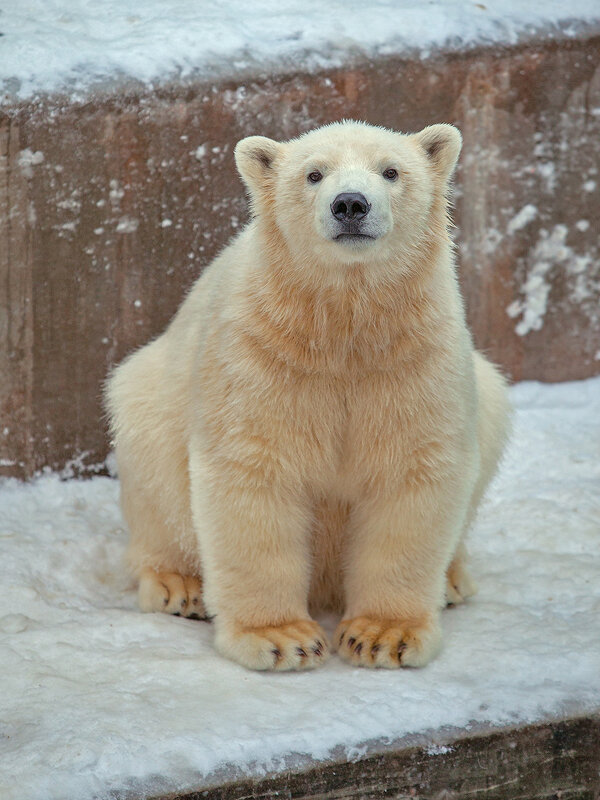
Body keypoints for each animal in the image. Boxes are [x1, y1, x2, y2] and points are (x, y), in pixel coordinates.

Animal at [105, 120, 508, 668]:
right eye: (314, 173)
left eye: (391, 171)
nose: (351, 204)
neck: (342, 330)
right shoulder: (261, 355)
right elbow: (255, 471)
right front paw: (281, 638)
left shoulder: (411, 357)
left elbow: (411, 471)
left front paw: (383, 635)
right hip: (150, 405)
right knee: (154, 475)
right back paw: (178, 585)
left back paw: (450, 580)